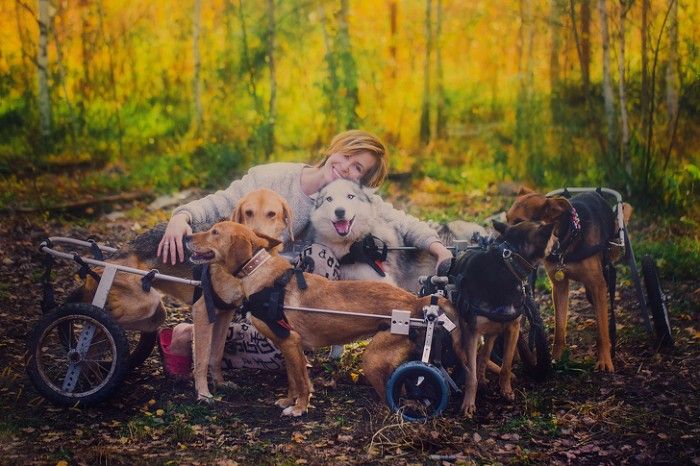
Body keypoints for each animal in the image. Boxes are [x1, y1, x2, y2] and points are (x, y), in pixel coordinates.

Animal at [506, 187, 632, 374]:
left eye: (519, 222)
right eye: (506, 219)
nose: (497, 245)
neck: (568, 239)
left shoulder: (598, 285)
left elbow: (602, 330)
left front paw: (604, 360)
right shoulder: (559, 286)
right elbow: (559, 327)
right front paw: (555, 357)